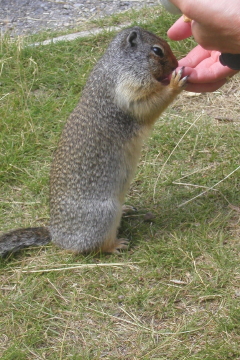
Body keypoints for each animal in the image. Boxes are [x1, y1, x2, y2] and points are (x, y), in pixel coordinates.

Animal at [0, 26, 188, 258]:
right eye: (157, 50)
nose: (176, 64)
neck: (118, 64)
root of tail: (56, 236)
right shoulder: (129, 87)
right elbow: (147, 104)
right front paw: (174, 83)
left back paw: (126, 210)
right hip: (103, 216)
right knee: (94, 247)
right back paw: (117, 245)